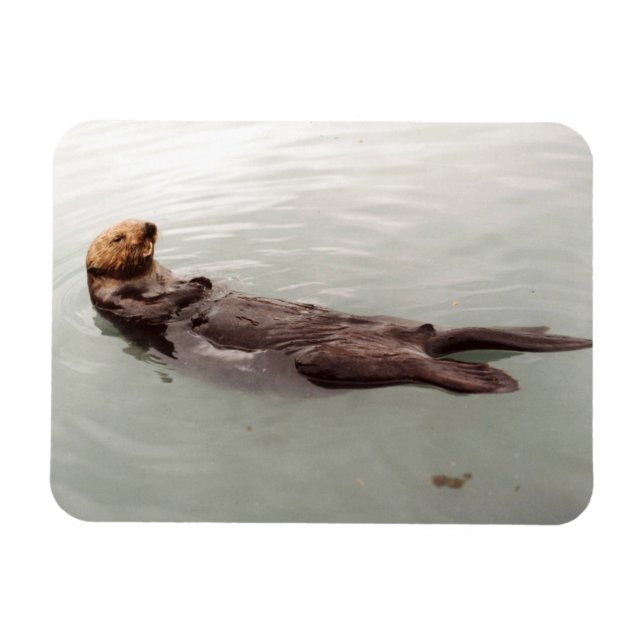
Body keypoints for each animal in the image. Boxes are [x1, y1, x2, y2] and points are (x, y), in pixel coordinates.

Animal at [86, 219, 592, 394]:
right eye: (119, 236)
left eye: (139, 224)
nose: (149, 227)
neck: (152, 278)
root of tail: (421, 340)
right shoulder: (123, 305)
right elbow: (158, 309)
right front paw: (197, 287)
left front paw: (206, 280)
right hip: (326, 362)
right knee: (412, 367)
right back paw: (488, 379)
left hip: (392, 329)